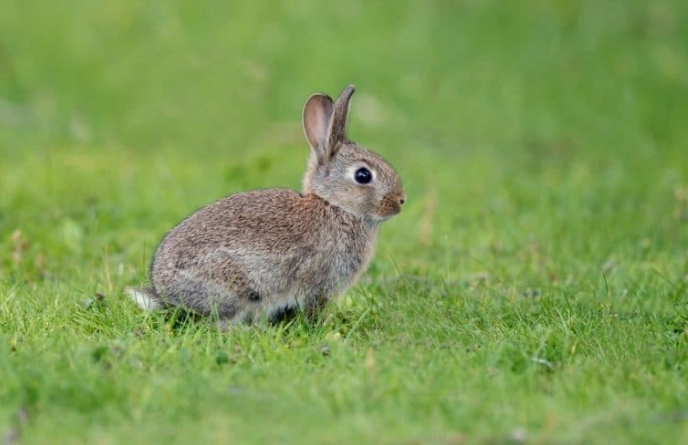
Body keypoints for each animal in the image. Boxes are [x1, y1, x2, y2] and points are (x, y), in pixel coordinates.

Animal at [126, 84, 405, 324]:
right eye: (363, 175)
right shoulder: (318, 283)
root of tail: (166, 295)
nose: (401, 201)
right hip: (234, 287)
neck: (334, 205)